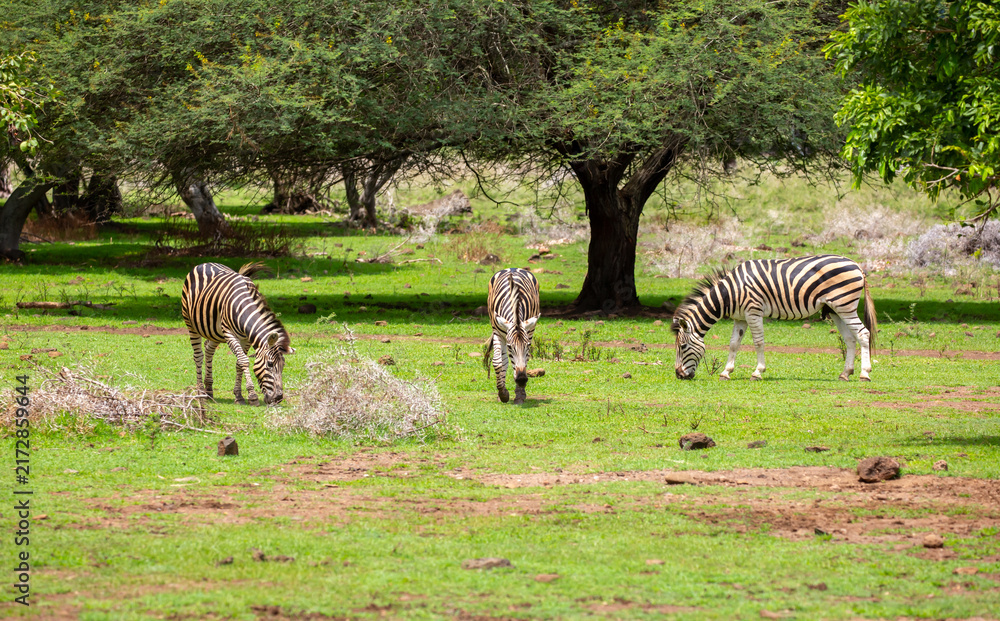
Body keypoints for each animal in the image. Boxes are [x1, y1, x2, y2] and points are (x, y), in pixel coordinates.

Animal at [181, 262, 293, 405]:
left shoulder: (246, 339)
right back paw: (201, 392)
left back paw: (209, 390)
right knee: (198, 356)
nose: (278, 398)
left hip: (215, 332)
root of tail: (205, 263)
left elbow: (239, 363)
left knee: (209, 350)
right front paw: (252, 396)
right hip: (191, 324)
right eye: (270, 364)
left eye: (283, 365)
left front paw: (239, 396)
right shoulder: (229, 333)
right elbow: (244, 361)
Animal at [482, 268, 541, 404]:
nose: (521, 380)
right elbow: (498, 362)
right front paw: (503, 393)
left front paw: (519, 394)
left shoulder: (528, 333)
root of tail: (513, 268)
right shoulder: (498, 332)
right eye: (510, 346)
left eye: (528, 346)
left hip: (531, 328)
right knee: (503, 359)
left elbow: (525, 360)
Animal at [671, 255, 877, 381]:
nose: (679, 375)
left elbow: (758, 342)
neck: (730, 293)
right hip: (835, 309)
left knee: (863, 334)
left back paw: (864, 374)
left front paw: (757, 372)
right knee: (850, 338)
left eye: (683, 347)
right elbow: (734, 344)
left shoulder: (753, 311)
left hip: (845, 305)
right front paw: (726, 372)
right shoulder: (740, 317)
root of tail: (857, 265)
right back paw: (845, 373)